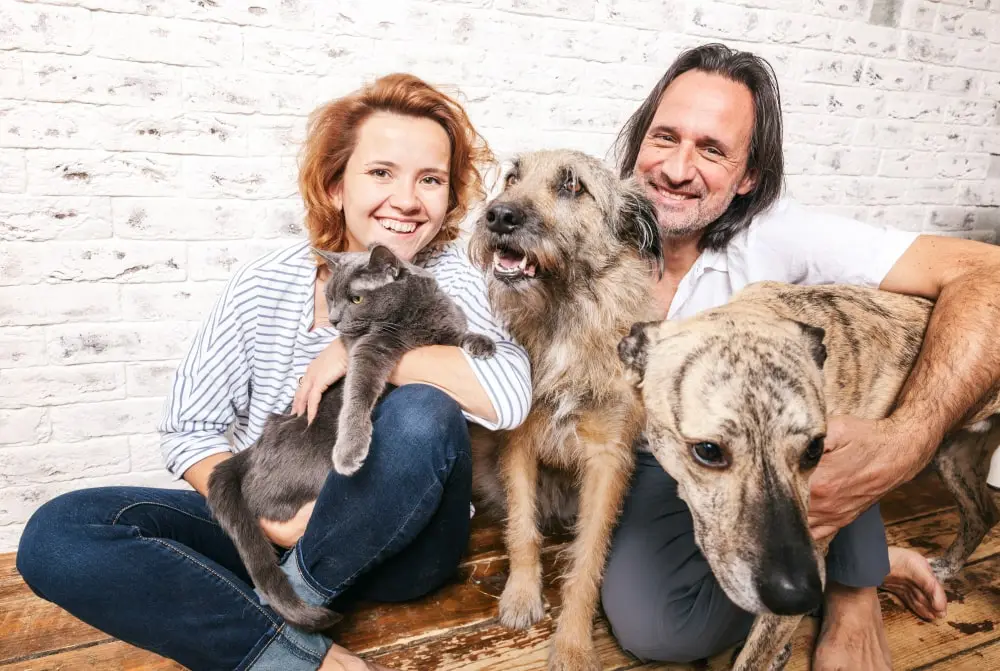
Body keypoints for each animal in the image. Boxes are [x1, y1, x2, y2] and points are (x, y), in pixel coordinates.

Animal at [208, 244, 496, 632]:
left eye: (356, 298)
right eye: (329, 297)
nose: (333, 321)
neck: (409, 318)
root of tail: (252, 451)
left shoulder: (445, 329)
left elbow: (459, 334)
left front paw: (482, 342)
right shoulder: (368, 352)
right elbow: (358, 394)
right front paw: (350, 452)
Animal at [468, 151, 664, 671]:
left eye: (573, 186)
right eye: (512, 176)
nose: (498, 216)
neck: (564, 317)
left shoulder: (607, 462)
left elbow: (588, 558)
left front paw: (574, 644)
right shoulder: (519, 443)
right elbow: (523, 529)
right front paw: (521, 596)